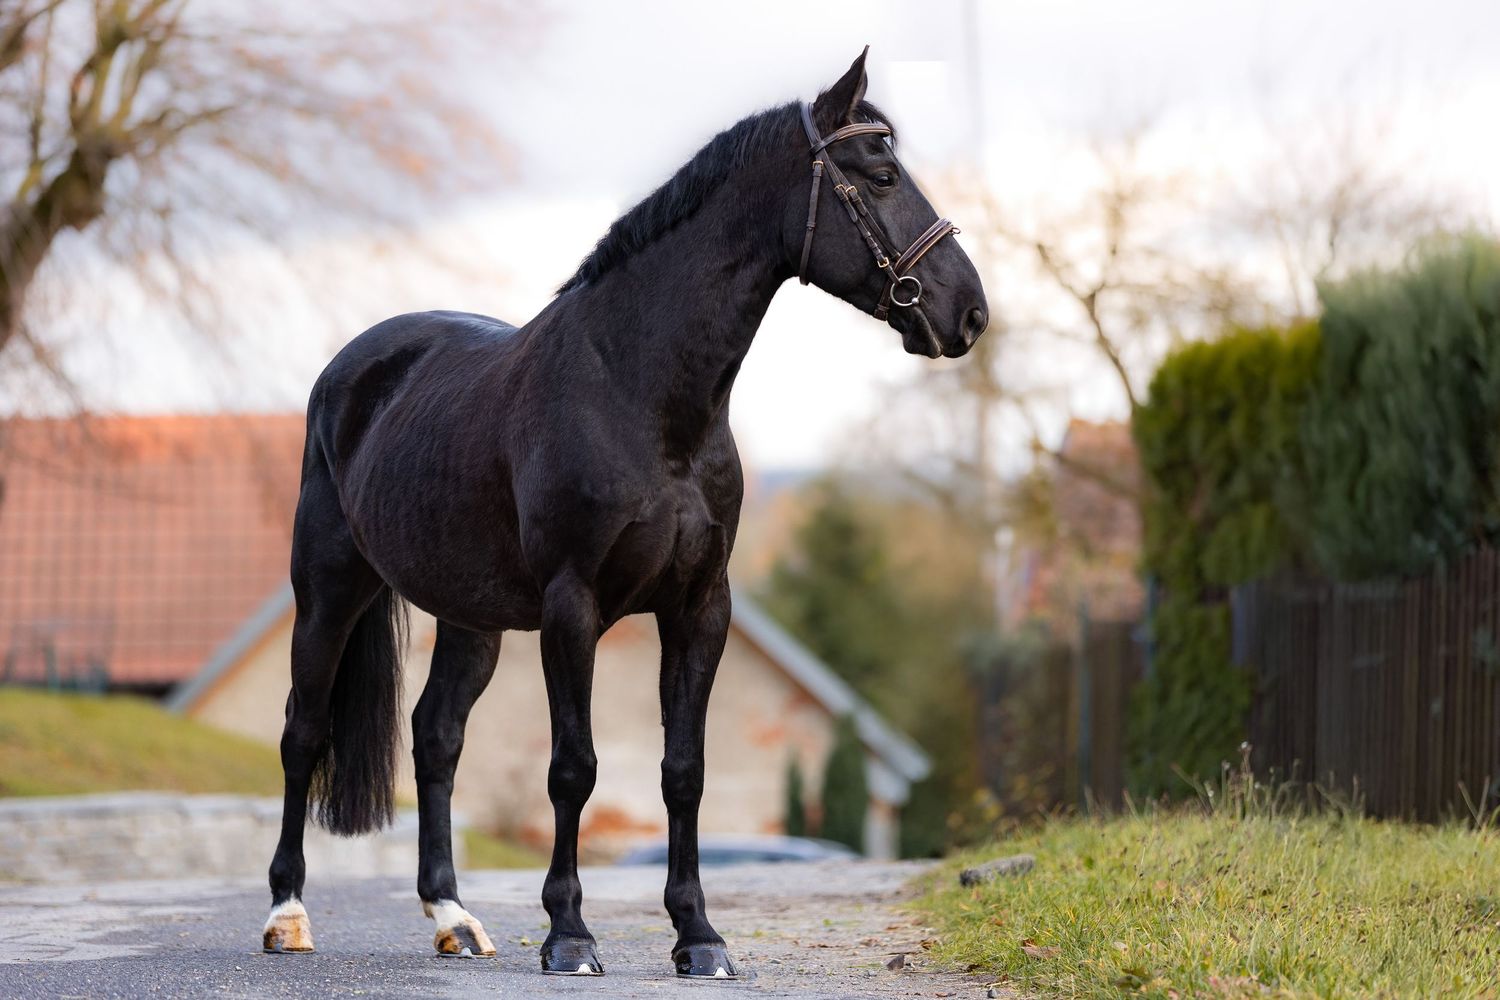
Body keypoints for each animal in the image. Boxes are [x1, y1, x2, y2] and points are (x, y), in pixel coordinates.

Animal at [260, 48, 988, 980]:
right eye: (882, 173)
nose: (968, 312)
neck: (639, 394)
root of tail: (349, 369)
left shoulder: (698, 607)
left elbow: (684, 770)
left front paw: (699, 937)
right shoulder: (573, 608)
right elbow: (574, 767)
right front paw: (570, 935)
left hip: (471, 620)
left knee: (436, 738)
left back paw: (454, 918)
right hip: (328, 594)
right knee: (303, 732)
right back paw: (287, 915)